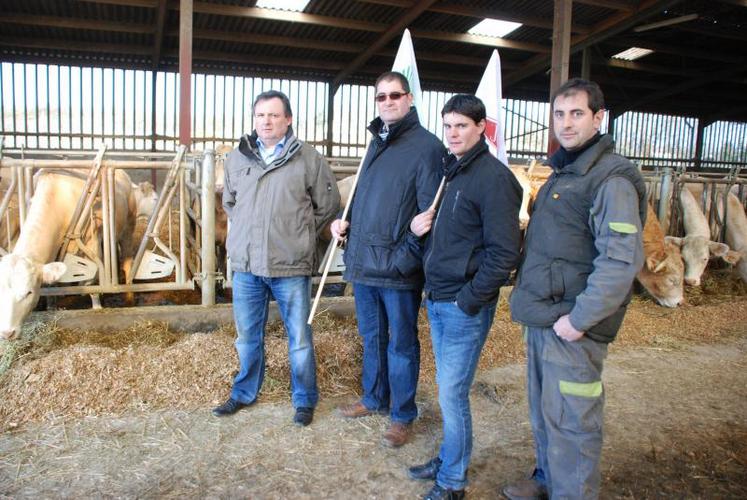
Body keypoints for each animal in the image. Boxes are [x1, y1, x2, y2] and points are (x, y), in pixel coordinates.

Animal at [0, 171, 137, 340]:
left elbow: (91, 284)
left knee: (127, 263)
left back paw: (129, 299)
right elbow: (51, 285)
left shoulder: (91, 242)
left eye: (28, 292)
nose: (7, 333)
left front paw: (97, 308)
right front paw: (51, 307)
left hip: (128, 226)